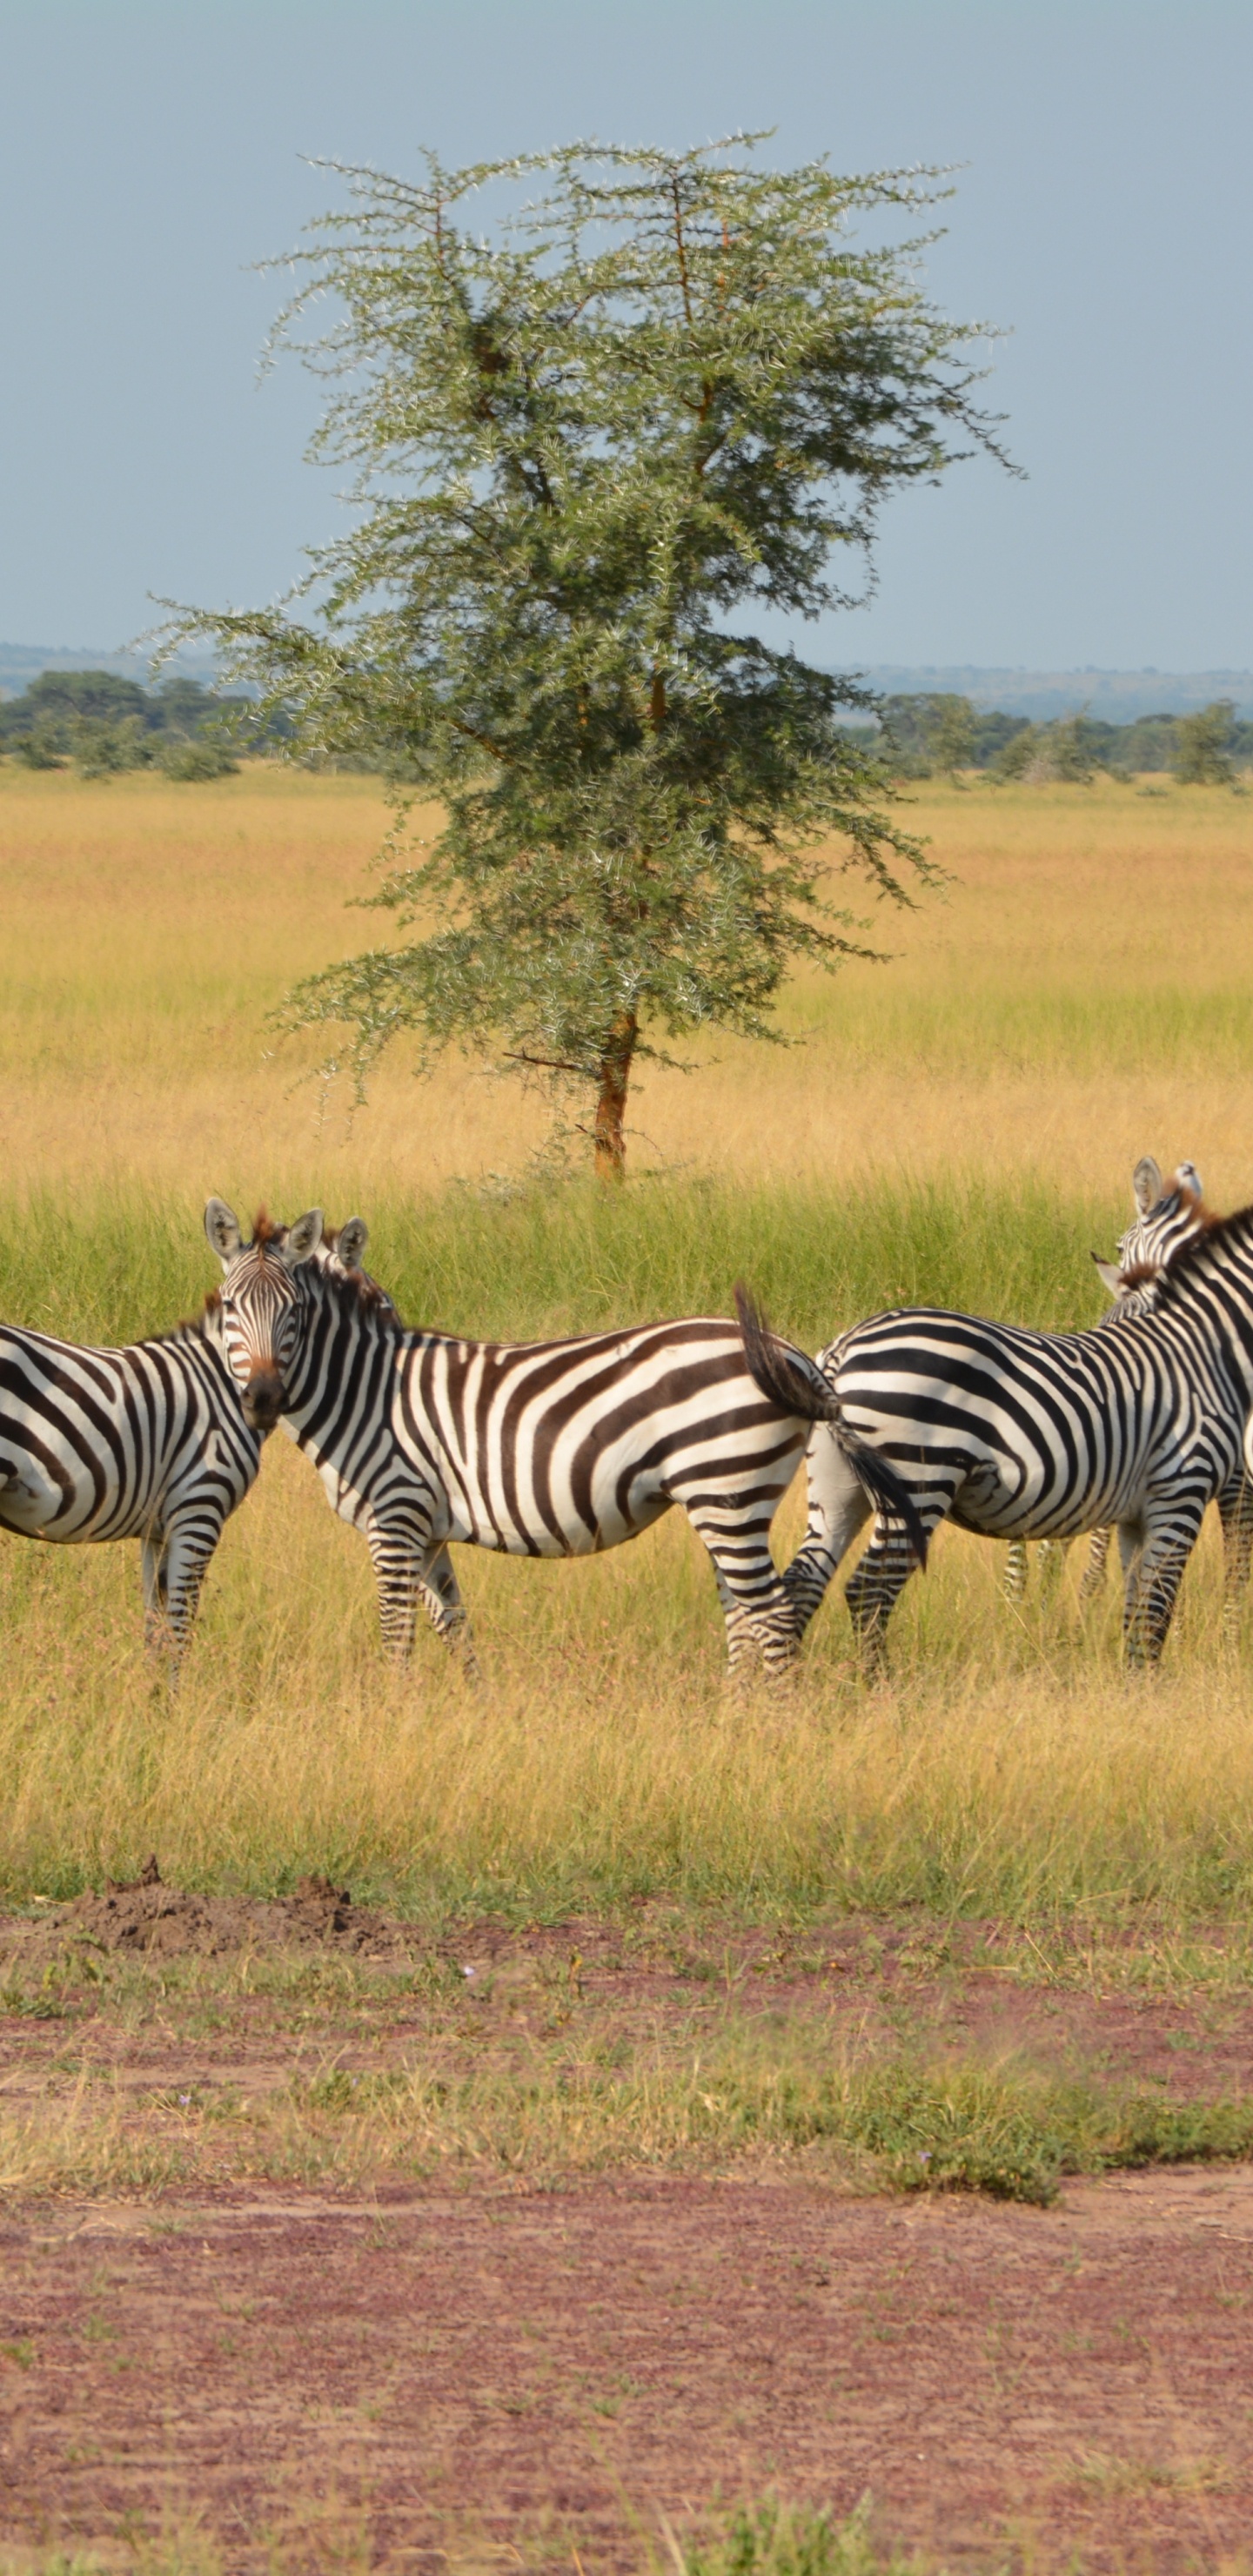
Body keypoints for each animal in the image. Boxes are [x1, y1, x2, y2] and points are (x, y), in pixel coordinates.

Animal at [0, 1199, 321, 1654]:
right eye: (229, 1306)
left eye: (293, 1309)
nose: (263, 1398)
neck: (217, 1382)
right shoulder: (199, 1510)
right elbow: (179, 1629)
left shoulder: (157, 1528)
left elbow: (155, 1629)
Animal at [255, 1214, 926, 1674]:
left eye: (383, 1303)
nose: (403, 1381)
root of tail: (796, 1356)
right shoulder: (425, 1529)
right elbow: (453, 1626)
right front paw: (474, 1704)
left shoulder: (398, 1520)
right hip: (731, 1497)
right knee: (748, 1612)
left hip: (728, 1486)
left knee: (771, 1615)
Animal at [738, 1190, 1253, 1666]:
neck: (1207, 1347)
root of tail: (843, 1347)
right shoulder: (1182, 1490)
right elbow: (1155, 1610)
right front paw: (1146, 1687)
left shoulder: (1138, 1513)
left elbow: (1135, 1607)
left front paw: (1132, 1683)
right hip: (918, 1482)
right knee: (869, 1591)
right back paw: (879, 1688)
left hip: (839, 1483)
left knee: (804, 1583)